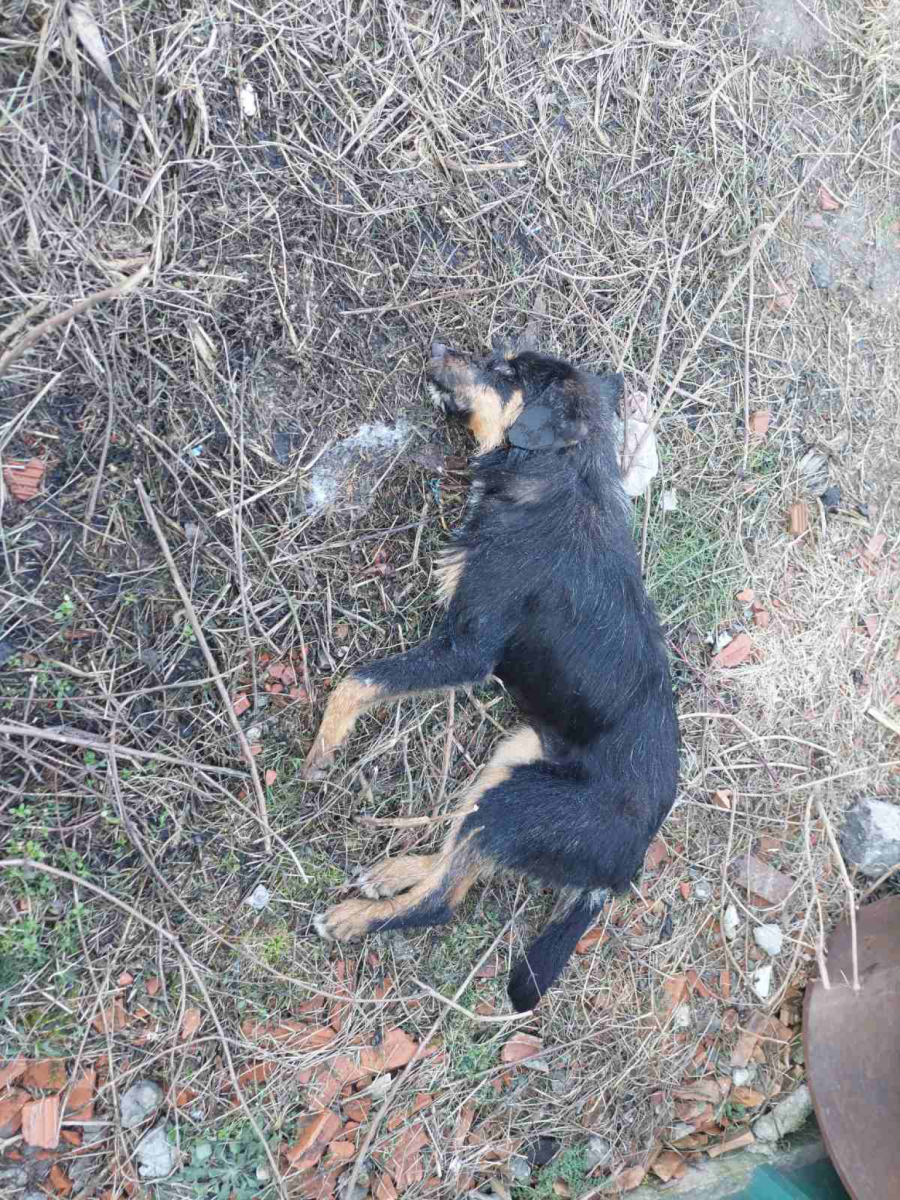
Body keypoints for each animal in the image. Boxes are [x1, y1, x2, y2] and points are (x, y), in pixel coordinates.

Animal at [307, 343, 681, 1008]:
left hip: (516, 805)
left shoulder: (466, 648)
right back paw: (396, 871)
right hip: (513, 757)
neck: (557, 477)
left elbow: (360, 680)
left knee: (442, 901)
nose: (435, 349)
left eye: (506, 373)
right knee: (455, 852)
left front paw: (325, 747)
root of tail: (627, 867)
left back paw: (354, 919)